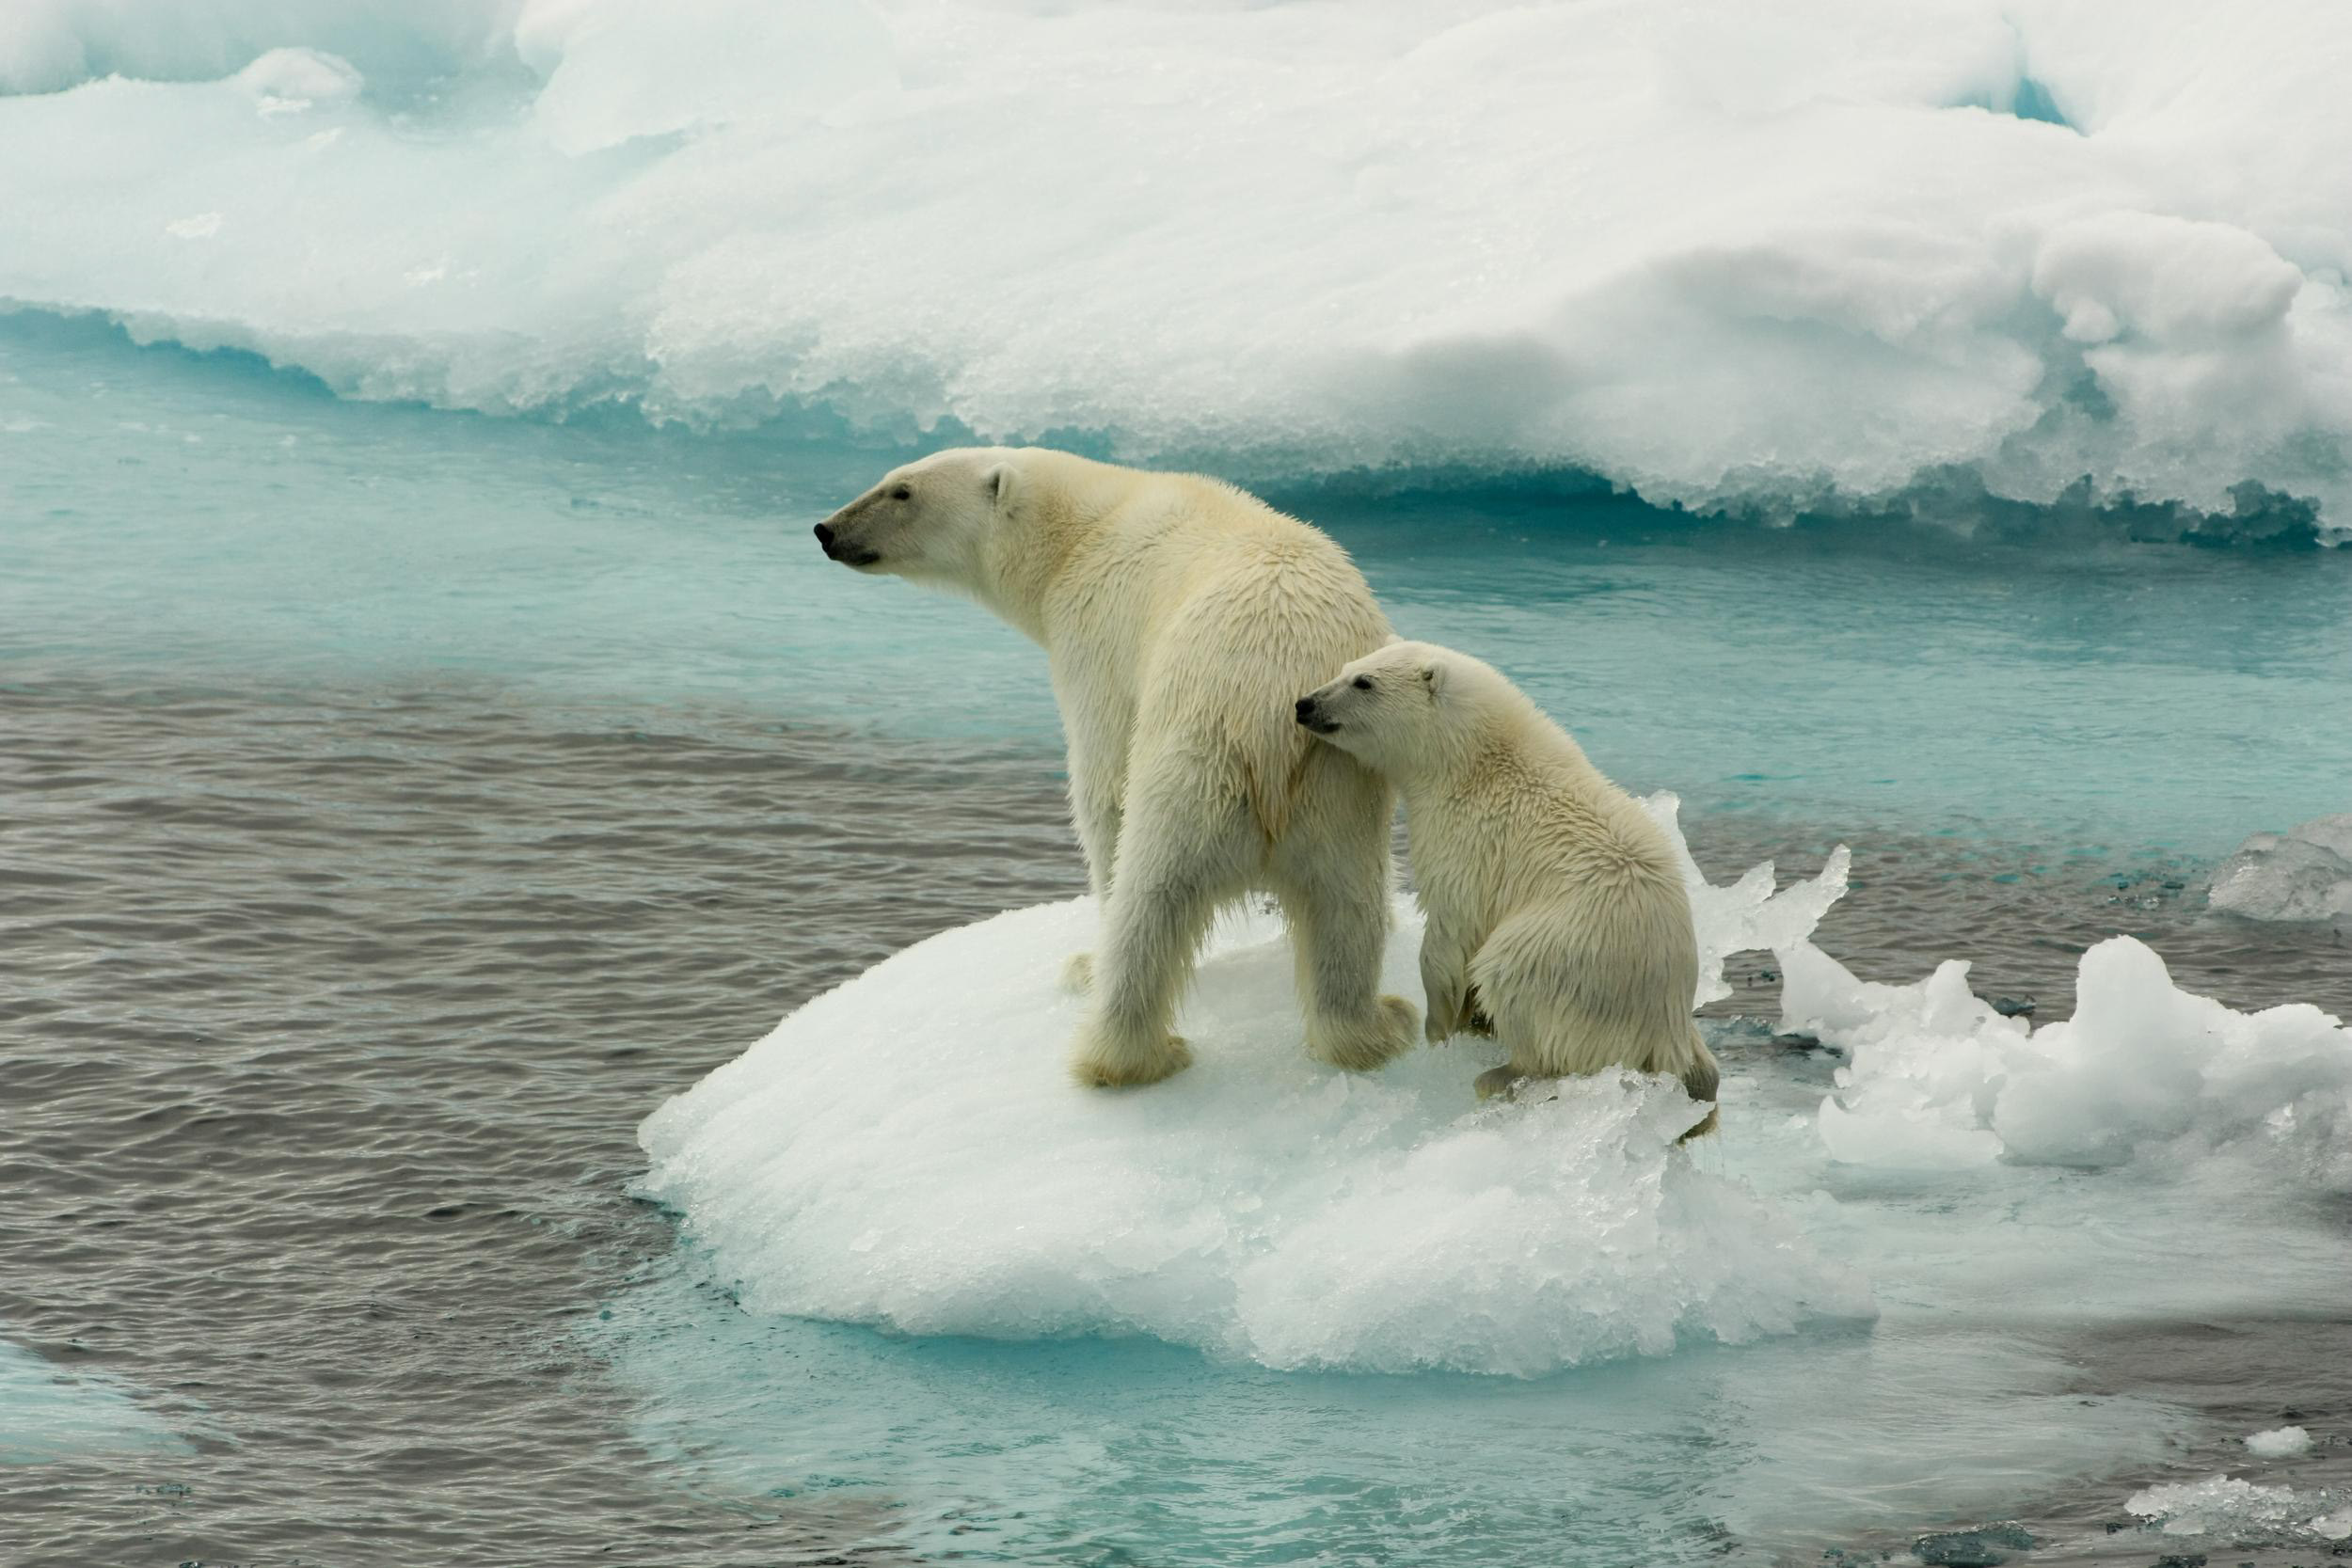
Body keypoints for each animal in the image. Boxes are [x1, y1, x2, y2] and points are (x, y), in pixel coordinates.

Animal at [818, 446, 1421, 1085]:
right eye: (889, 478)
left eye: (902, 491)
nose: (827, 530)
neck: (1084, 528)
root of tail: (1272, 714)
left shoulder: (1096, 634)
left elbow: (1102, 780)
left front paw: (1087, 959)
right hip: (1339, 786)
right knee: (1346, 905)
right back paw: (1375, 1027)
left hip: (1198, 760)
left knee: (1151, 895)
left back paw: (1123, 1044)